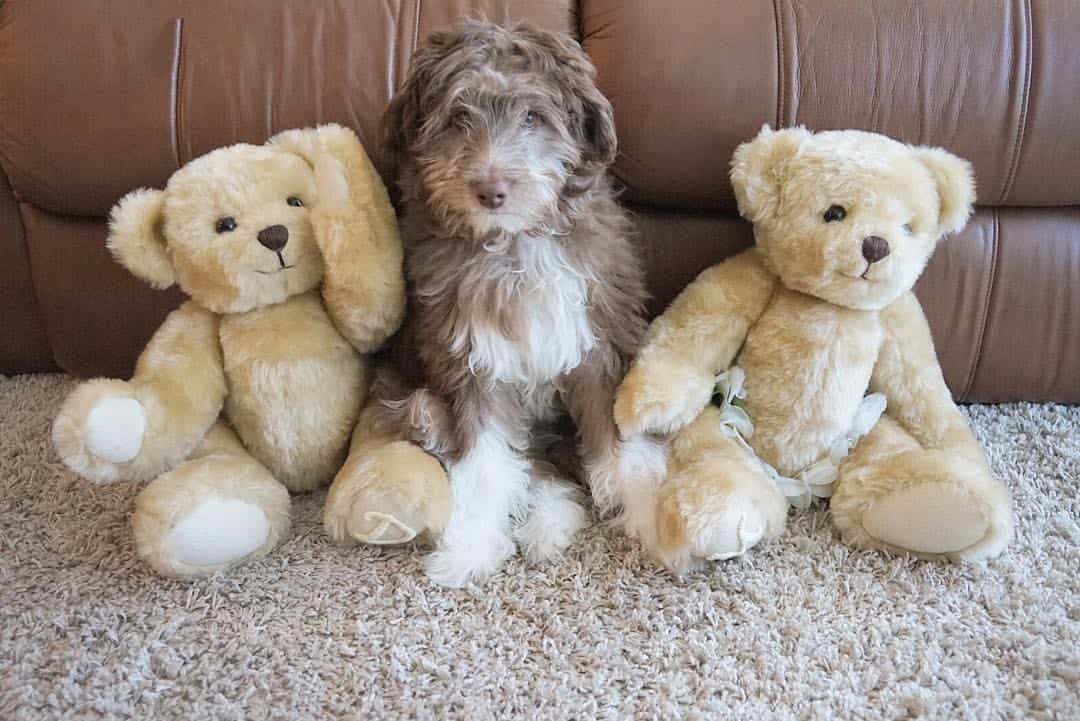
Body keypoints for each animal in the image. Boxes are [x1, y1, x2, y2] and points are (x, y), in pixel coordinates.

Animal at [380, 21, 665, 587]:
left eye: (533, 116)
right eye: (458, 118)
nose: (491, 190)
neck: (514, 244)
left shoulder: (598, 341)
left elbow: (619, 443)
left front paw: (652, 516)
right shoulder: (471, 360)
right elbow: (486, 462)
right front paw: (468, 547)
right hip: (414, 396)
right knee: (524, 462)